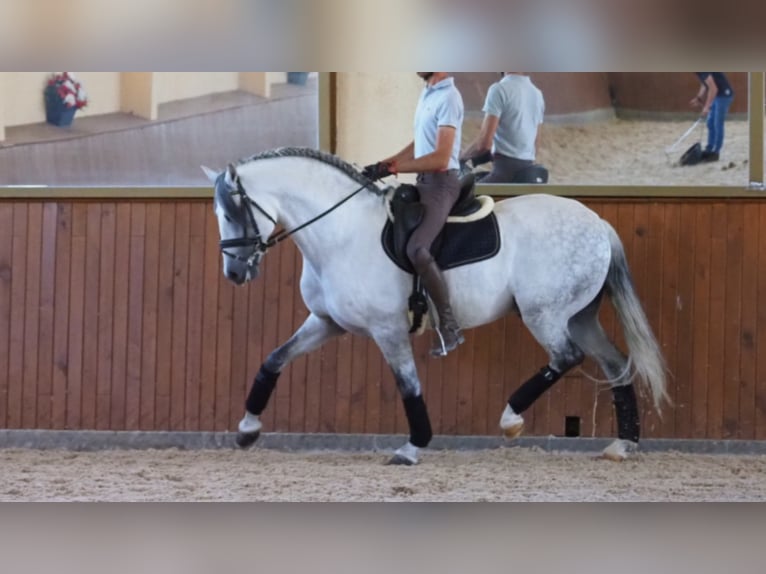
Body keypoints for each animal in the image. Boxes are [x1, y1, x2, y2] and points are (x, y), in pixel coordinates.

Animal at [201, 150, 668, 468]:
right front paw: (247, 430)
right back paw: (623, 445)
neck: (341, 234)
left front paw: (413, 446)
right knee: (615, 364)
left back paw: (511, 419)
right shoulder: (326, 323)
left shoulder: (387, 329)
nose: (234, 273)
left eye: (234, 211)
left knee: (566, 357)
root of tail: (598, 224)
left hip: (545, 314)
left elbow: (409, 387)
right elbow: (273, 360)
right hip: (579, 316)